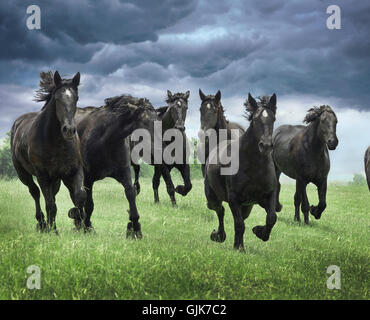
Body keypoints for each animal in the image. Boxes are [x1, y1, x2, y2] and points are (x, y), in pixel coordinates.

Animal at [10, 70, 86, 232]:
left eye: (76, 98)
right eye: (57, 99)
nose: (69, 130)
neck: (55, 141)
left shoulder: (73, 171)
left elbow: (80, 196)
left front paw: (83, 225)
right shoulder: (42, 175)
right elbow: (50, 204)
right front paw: (53, 231)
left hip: (55, 179)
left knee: (53, 195)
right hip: (24, 174)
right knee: (35, 193)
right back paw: (42, 223)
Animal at [71, 95, 160, 238]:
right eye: (146, 122)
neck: (107, 140)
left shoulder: (124, 172)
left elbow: (130, 192)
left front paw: (135, 228)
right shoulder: (88, 178)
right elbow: (89, 204)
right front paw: (88, 227)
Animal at [205, 92, 278, 250]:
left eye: (273, 119)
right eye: (255, 119)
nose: (266, 146)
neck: (254, 165)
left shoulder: (268, 195)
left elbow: (271, 218)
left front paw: (259, 231)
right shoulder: (234, 198)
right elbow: (239, 224)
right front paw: (239, 249)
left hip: (247, 206)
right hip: (213, 198)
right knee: (220, 211)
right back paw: (219, 236)